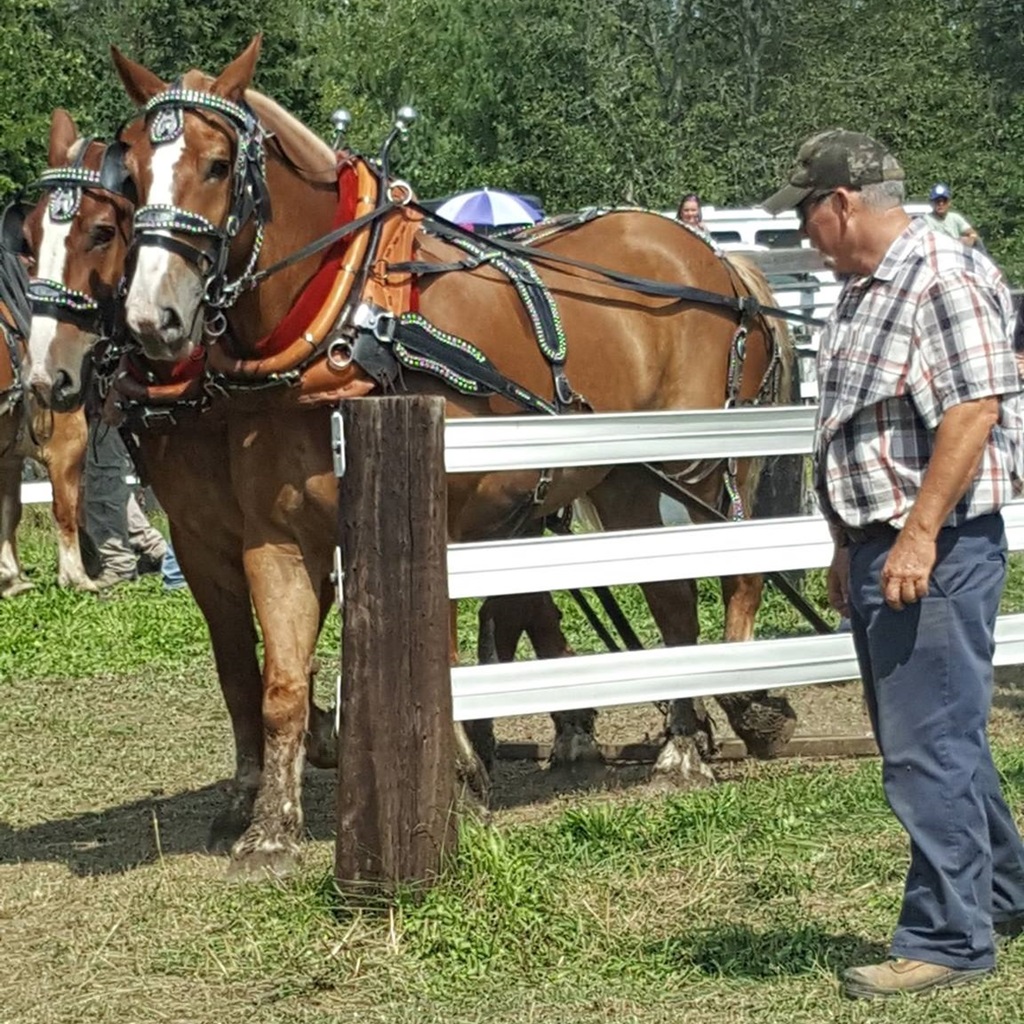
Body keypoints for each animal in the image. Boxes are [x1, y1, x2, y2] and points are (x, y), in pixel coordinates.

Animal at [0, 233, 92, 597]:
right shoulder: (69, 439)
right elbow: (66, 507)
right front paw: (76, 577)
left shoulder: (10, 455)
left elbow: (10, 511)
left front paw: (10, 576)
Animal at [24, 39, 798, 878]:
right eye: (131, 178)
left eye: (219, 163)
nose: (151, 318)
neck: (348, 318)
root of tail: (709, 256)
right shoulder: (257, 537)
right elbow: (270, 679)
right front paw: (269, 823)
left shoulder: (441, 521)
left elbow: (443, 656)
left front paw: (457, 780)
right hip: (621, 482)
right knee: (668, 594)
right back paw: (681, 736)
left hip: (699, 466)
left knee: (735, 572)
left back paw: (732, 713)